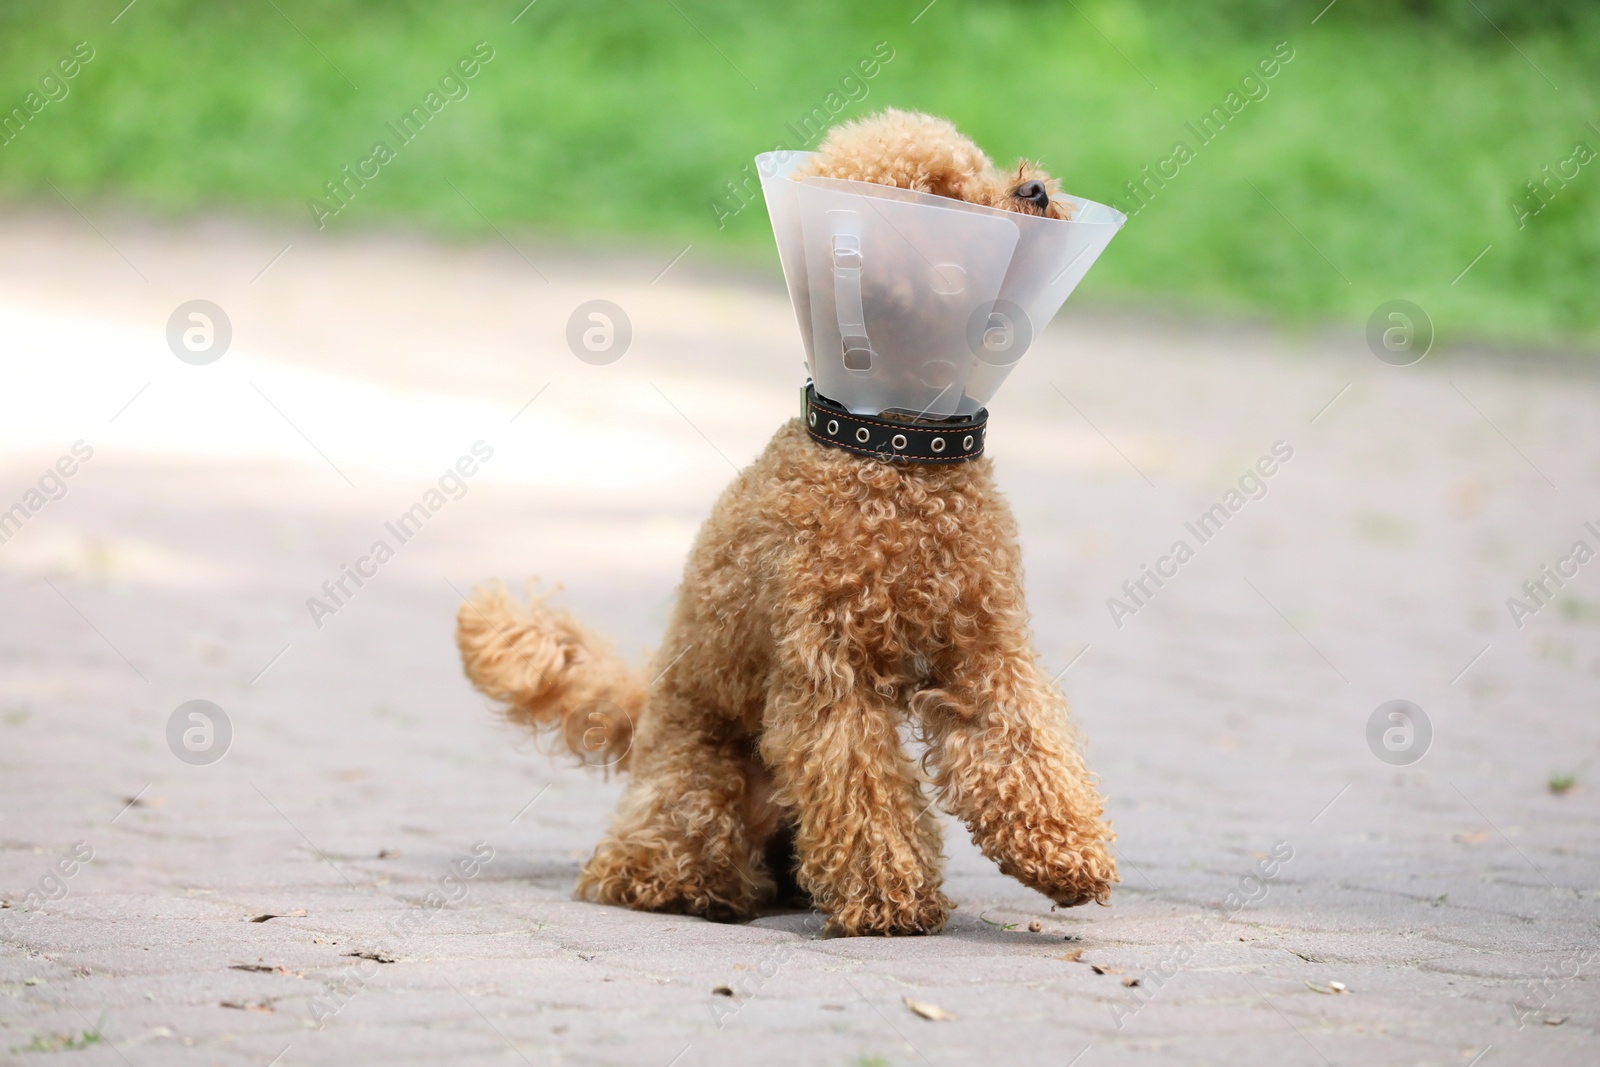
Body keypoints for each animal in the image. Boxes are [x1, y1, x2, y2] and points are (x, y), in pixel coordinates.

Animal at [457, 112, 1120, 940]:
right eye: (938, 192)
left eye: (985, 165)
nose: (1032, 189)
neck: (894, 450)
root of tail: (643, 719)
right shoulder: (826, 672)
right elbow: (862, 784)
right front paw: (889, 896)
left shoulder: (982, 647)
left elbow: (1025, 746)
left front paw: (1068, 853)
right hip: (702, 780)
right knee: (641, 857)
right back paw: (690, 886)